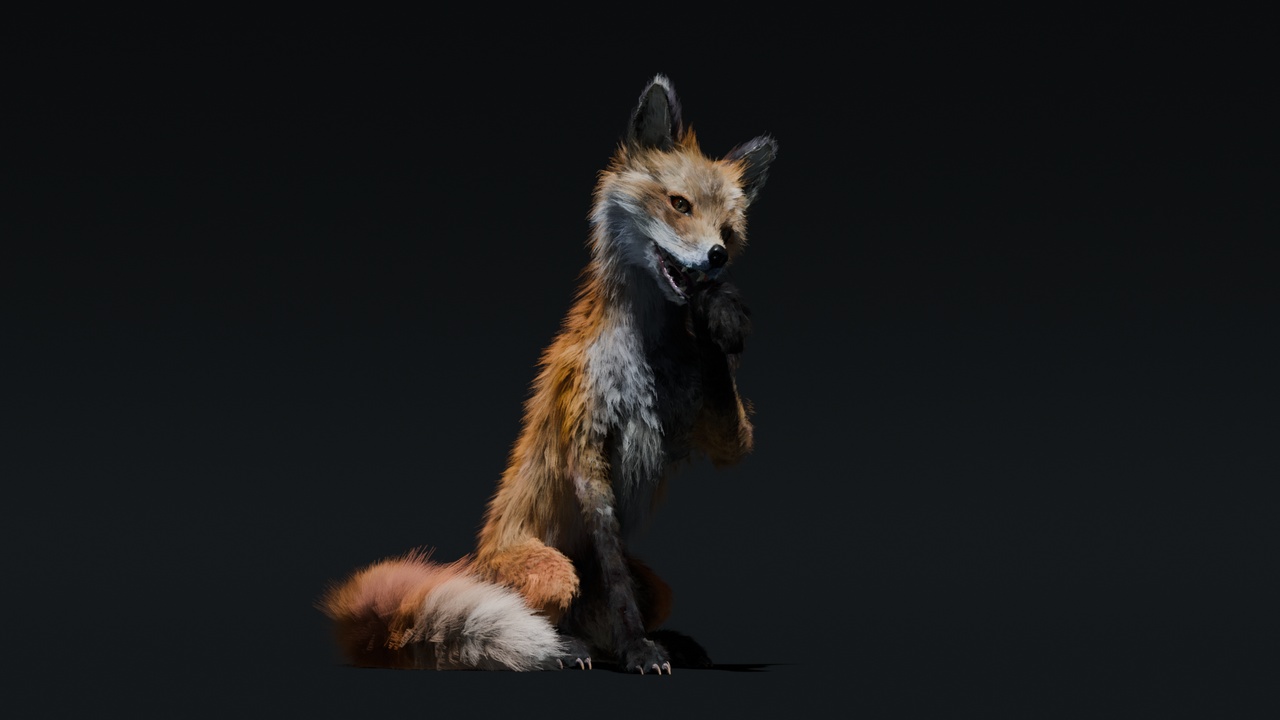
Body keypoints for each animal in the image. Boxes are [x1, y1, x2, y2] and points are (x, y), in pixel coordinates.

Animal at [318, 74, 777, 674]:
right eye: (679, 204)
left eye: (728, 228)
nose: (717, 256)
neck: (650, 354)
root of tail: (468, 563)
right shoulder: (588, 443)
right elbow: (615, 577)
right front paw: (638, 650)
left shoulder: (713, 434)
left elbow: (730, 423)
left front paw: (719, 316)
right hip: (556, 572)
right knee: (544, 614)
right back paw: (565, 648)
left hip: (658, 588)